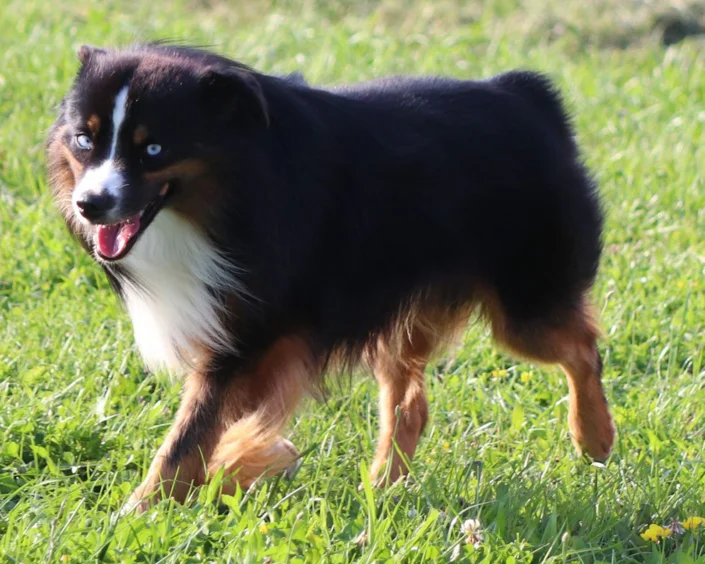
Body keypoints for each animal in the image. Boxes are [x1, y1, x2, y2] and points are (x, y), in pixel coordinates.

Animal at [46, 44, 612, 512]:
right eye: (84, 140)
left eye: (154, 150)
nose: (91, 204)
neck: (232, 186)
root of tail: (525, 95)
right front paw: (240, 466)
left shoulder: (251, 336)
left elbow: (188, 437)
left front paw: (141, 510)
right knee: (410, 403)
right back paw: (384, 487)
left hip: (526, 302)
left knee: (582, 350)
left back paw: (595, 437)